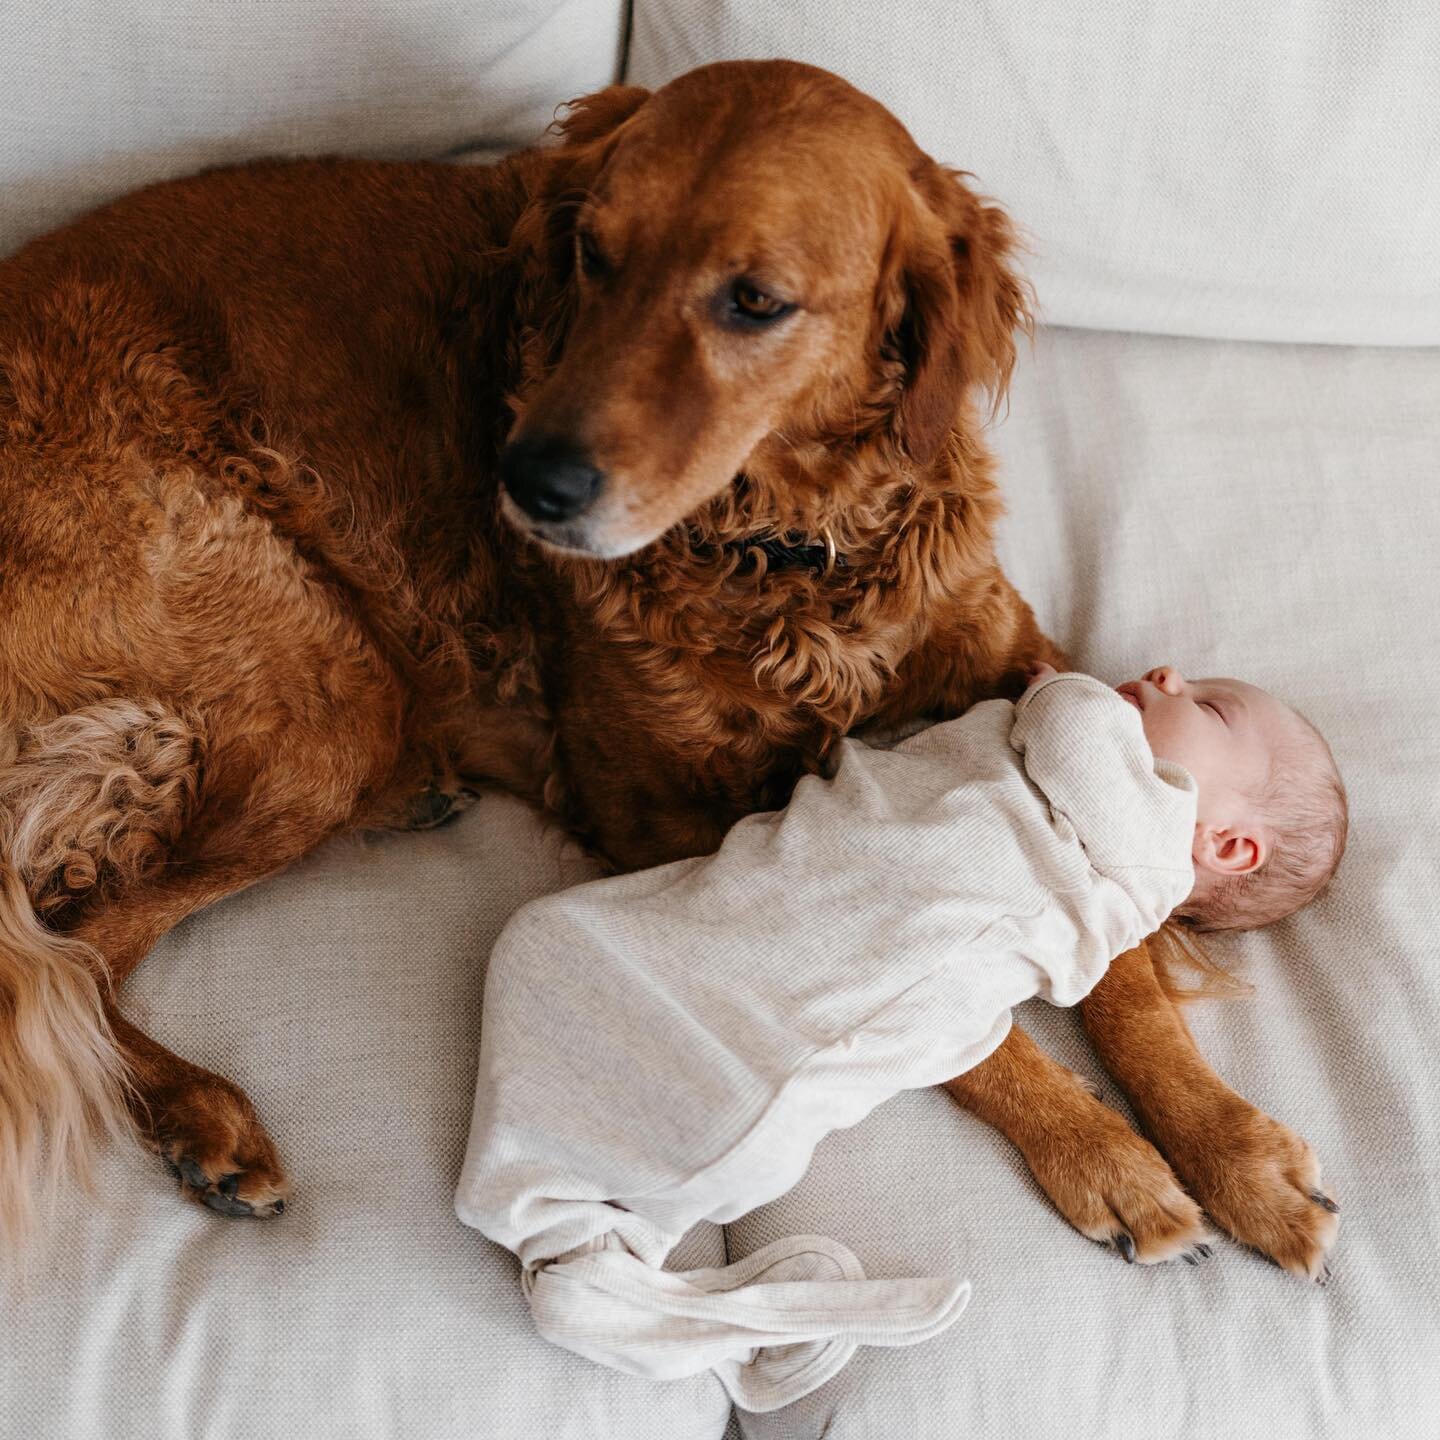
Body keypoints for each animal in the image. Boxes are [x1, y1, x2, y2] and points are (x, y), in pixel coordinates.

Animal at [0, 59, 1336, 1272]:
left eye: (753, 300)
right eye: (593, 254)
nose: (529, 484)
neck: (790, 552)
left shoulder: (1025, 662)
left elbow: (1128, 972)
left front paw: (1232, 1151)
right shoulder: (660, 813)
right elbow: (971, 1030)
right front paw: (1104, 1156)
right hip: (322, 687)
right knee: (76, 951)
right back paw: (204, 1115)